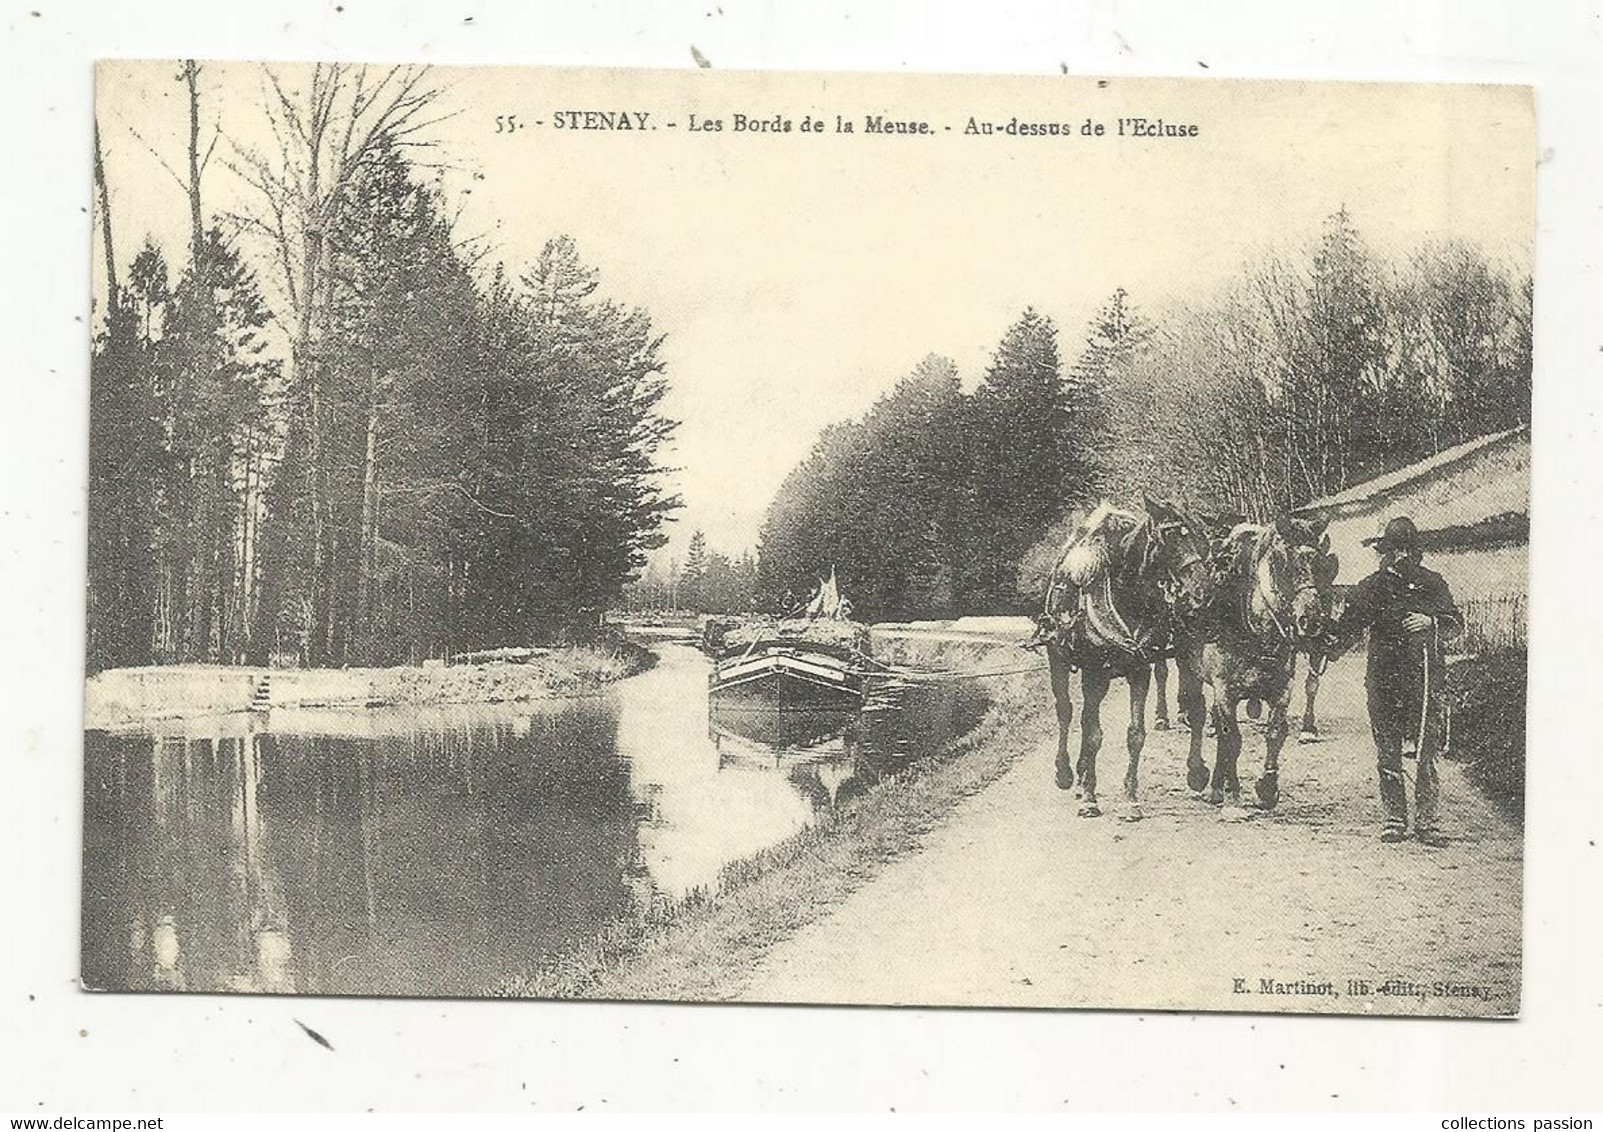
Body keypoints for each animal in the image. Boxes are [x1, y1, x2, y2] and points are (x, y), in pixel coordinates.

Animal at [1038, 497, 1211, 814]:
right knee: (1066, 712)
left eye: (1195, 535)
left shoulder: (1138, 669)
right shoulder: (1093, 673)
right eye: (1169, 538)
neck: (1127, 597)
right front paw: (1090, 796)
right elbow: (1092, 734)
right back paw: (1067, 773)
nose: (1201, 589)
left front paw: (1131, 798)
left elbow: (1135, 734)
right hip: (1058, 659)